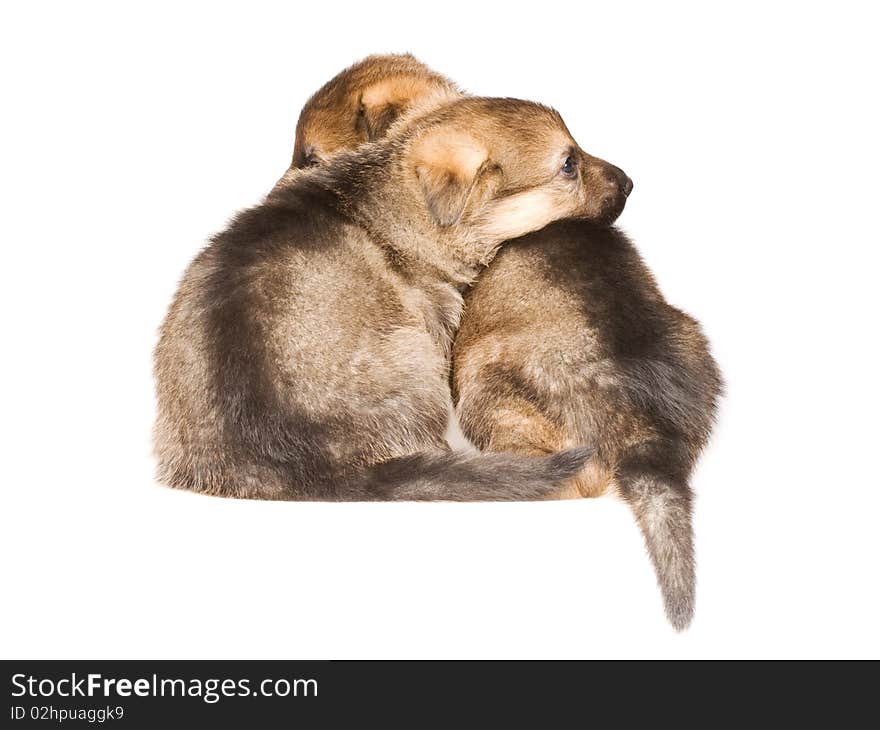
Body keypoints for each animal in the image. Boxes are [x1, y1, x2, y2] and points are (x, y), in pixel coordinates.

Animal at [153, 89, 632, 500]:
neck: (393, 198)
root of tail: (309, 470)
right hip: (414, 355)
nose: (629, 182)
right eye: (568, 164)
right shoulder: (435, 320)